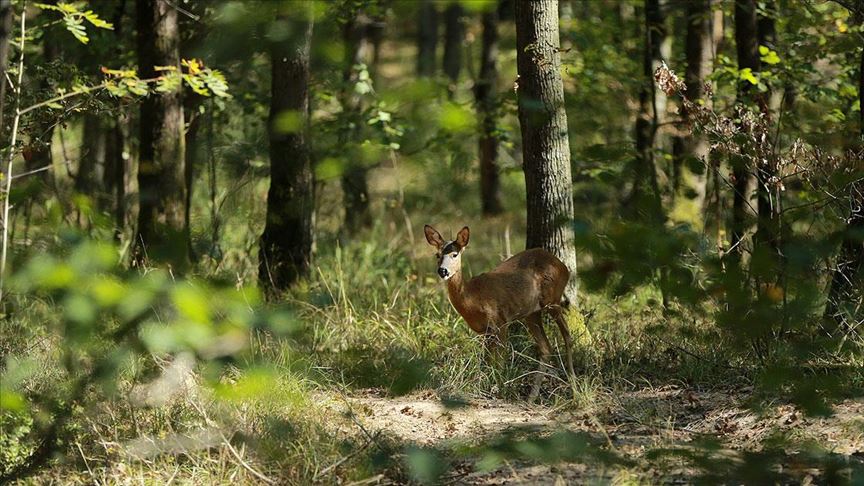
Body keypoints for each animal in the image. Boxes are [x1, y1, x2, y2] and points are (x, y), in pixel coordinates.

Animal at [424, 225, 572, 398]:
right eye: (437, 255)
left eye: (455, 254)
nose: (443, 271)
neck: (472, 298)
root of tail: (563, 266)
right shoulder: (486, 331)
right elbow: (487, 361)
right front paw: (485, 388)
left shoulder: (500, 321)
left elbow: (500, 360)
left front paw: (500, 391)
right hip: (531, 313)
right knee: (546, 347)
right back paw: (531, 397)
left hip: (553, 299)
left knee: (567, 335)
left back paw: (573, 383)